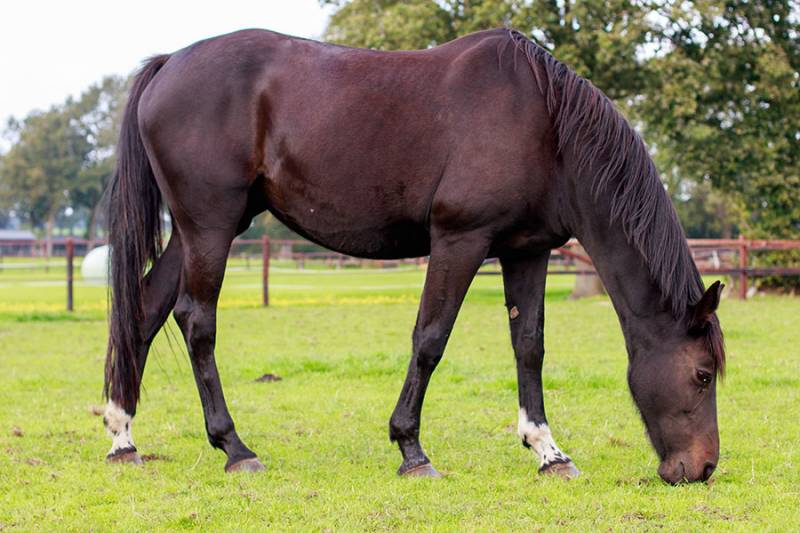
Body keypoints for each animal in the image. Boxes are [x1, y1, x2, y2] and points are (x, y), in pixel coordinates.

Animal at [101, 28, 724, 482]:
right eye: (701, 374)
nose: (702, 468)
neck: (545, 127)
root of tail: (169, 64)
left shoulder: (526, 252)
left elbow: (529, 346)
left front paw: (548, 451)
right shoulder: (459, 240)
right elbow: (430, 340)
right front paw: (411, 450)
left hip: (196, 231)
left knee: (145, 311)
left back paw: (123, 437)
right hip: (210, 226)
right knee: (196, 321)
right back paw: (235, 447)